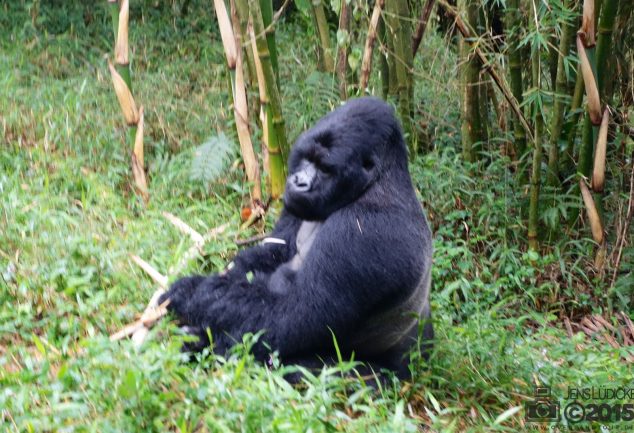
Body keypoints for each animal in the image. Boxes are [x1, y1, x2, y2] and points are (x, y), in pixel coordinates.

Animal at [160, 95, 432, 378]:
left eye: (325, 168)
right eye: (306, 159)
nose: (298, 181)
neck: (376, 181)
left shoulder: (366, 231)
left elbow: (294, 315)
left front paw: (190, 292)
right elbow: (274, 251)